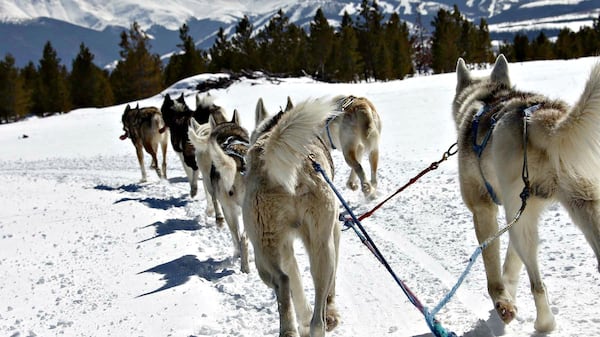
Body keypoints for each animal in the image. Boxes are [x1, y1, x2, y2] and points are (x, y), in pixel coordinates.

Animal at [243, 97, 342, 336]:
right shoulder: (333, 233)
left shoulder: (286, 248)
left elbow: (295, 280)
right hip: (321, 246)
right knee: (316, 312)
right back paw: (312, 324)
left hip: (264, 250)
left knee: (283, 281)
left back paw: (290, 329)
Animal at [452, 55, 600, 330]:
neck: (487, 96)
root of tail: (542, 119)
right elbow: (511, 265)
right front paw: (509, 293)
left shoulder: (483, 210)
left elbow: (493, 269)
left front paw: (503, 303)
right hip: (580, 205)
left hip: (520, 218)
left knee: (538, 285)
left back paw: (544, 324)